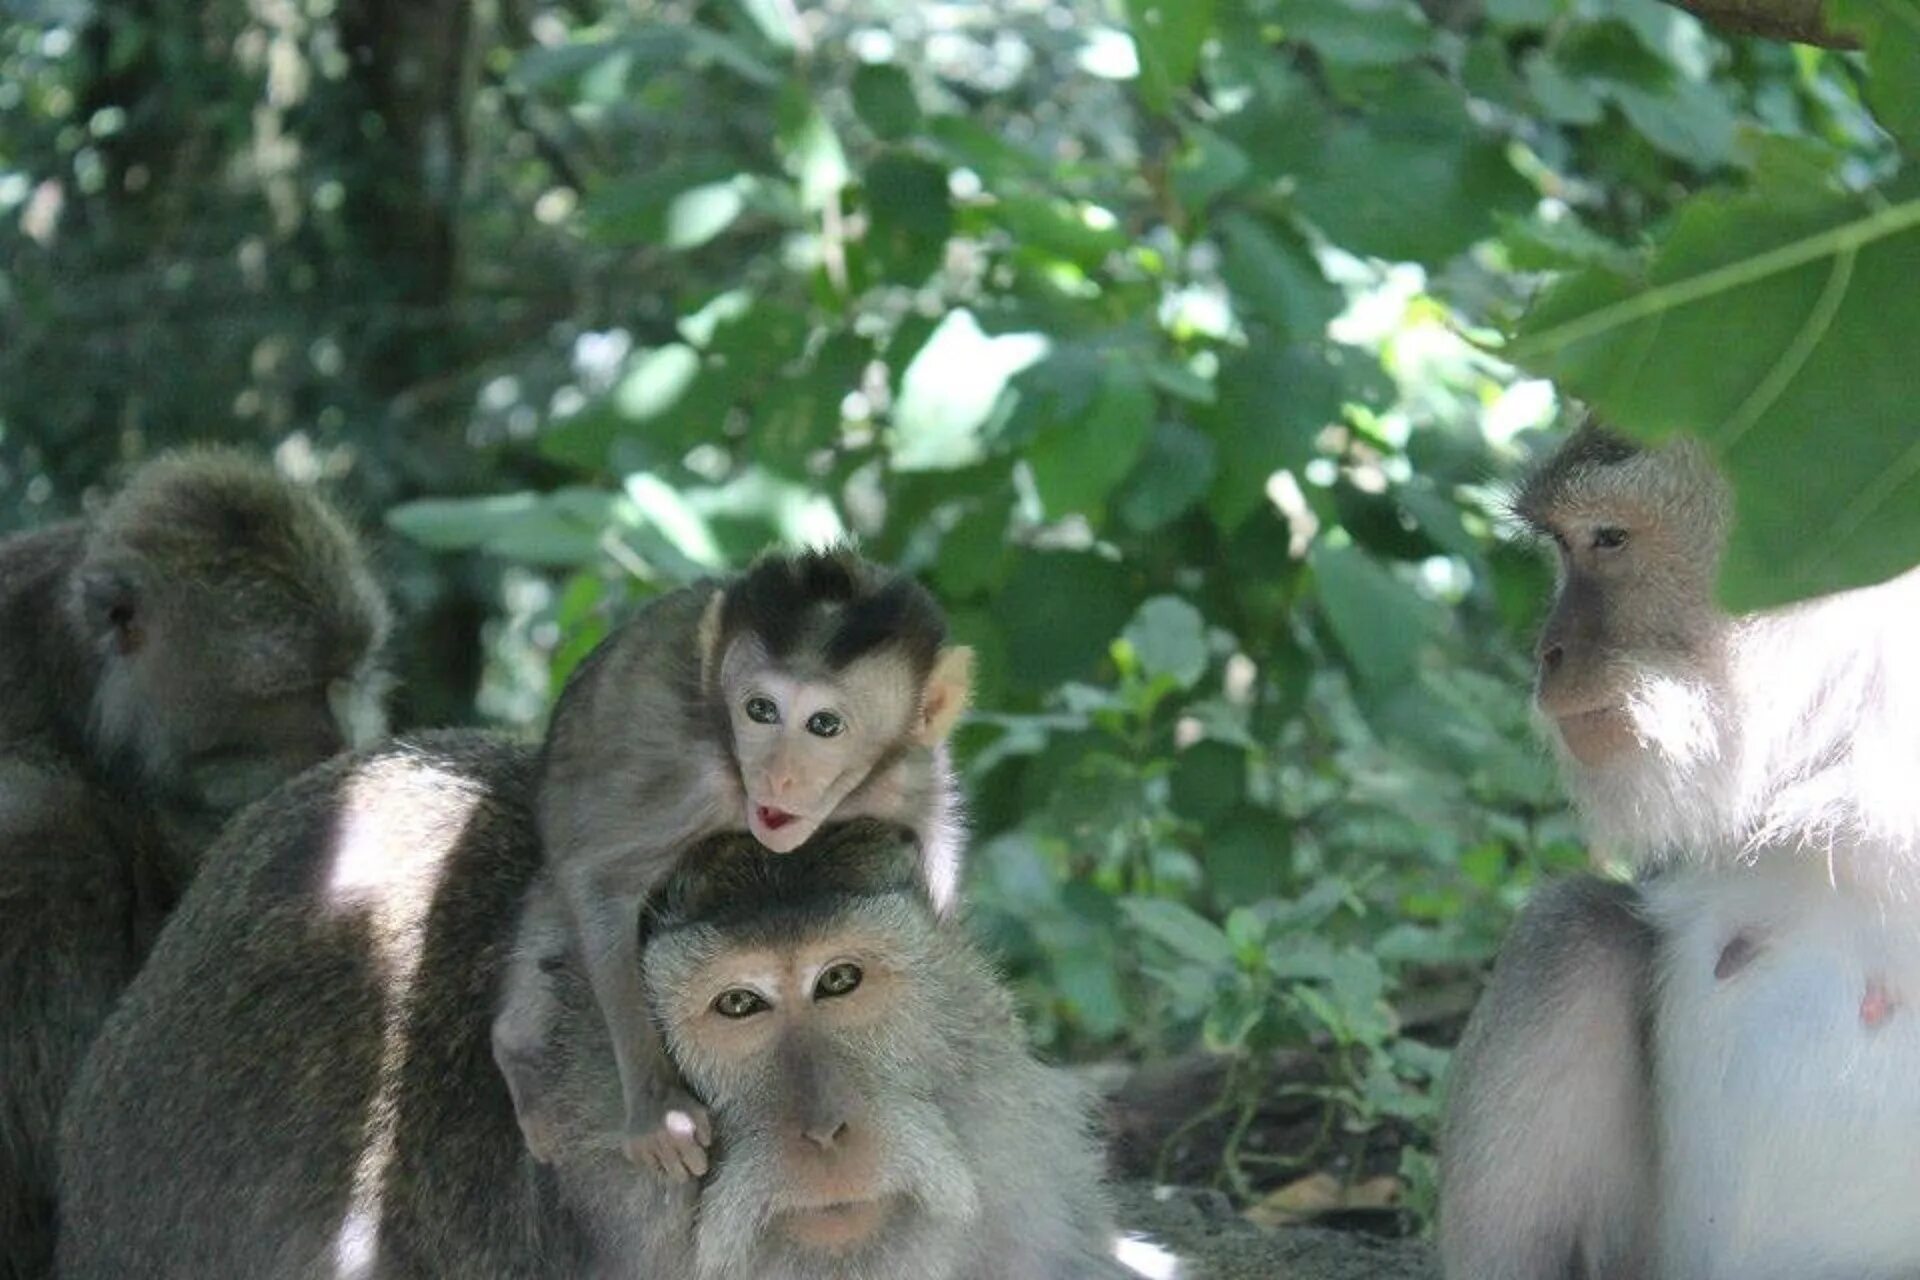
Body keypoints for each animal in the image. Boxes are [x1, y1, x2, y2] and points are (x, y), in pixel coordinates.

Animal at [495, 552, 975, 1182]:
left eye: (824, 725)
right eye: (760, 711)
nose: (777, 776)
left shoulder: (913, 772)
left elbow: (938, 864)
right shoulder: (692, 781)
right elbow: (597, 879)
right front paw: (658, 1109)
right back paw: (518, 1054)